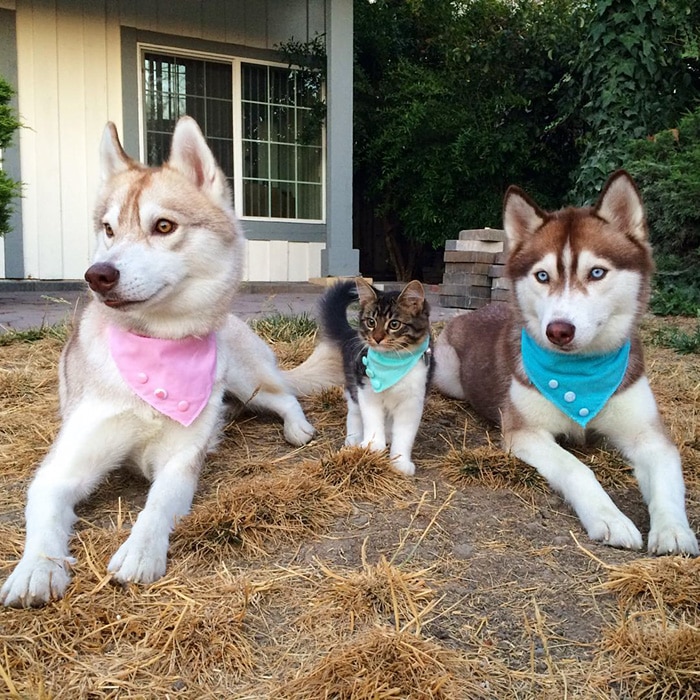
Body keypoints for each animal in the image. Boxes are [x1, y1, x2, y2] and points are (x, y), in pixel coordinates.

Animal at [322, 276, 432, 474]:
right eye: (371, 322)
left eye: (394, 324)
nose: (377, 338)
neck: (392, 364)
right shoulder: (366, 390)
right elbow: (372, 420)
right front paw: (373, 446)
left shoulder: (413, 400)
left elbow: (404, 434)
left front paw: (400, 461)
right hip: (353, 384)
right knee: (354, 413)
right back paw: (354, 439)